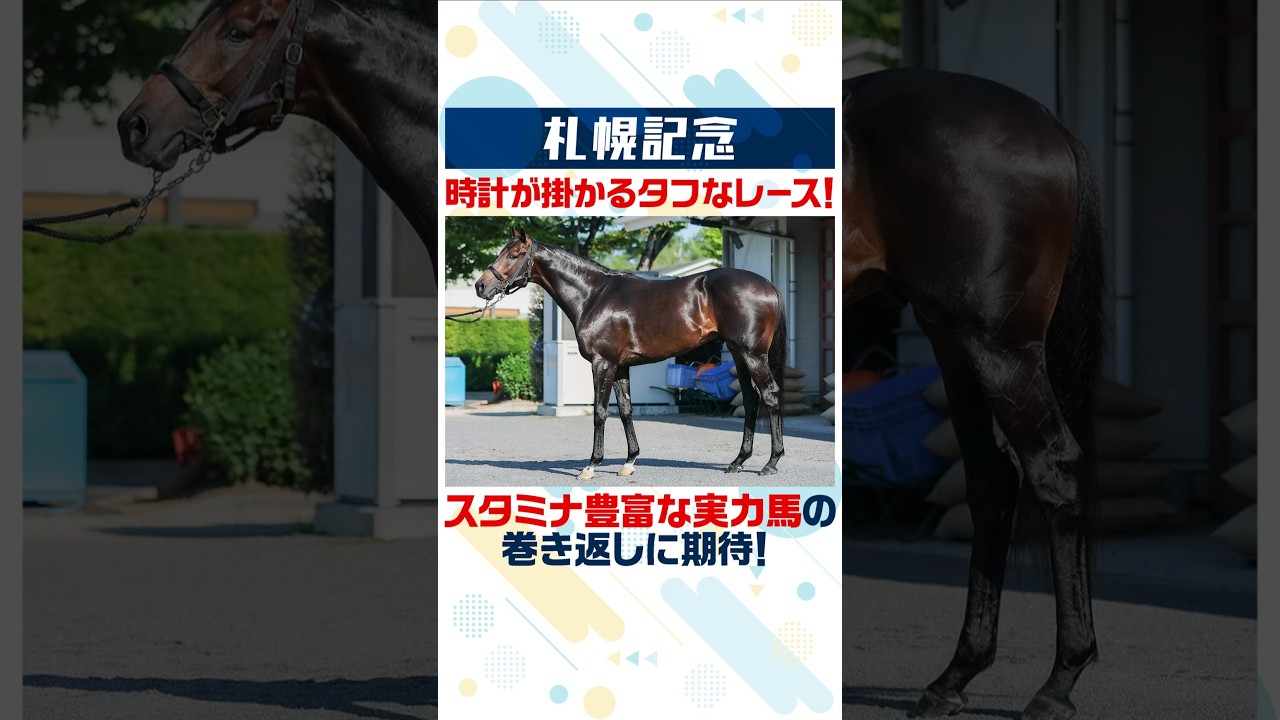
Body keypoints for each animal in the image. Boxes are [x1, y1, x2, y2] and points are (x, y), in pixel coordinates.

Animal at [474, 228, 788, 481]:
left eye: (514, 255)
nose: (481, 286)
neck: (594, 295)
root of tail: (770, 286)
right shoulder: (620, 366)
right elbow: (625, 410)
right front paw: (629, 462)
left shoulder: (602, 363)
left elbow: (600, 412)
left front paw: (591, 465)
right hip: (738, 353)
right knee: (751, 400)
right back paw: (738, 462)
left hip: (752, 355)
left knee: (770, 395)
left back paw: (771, 463)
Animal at [843, 67, 1105, 720]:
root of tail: (1051, 124)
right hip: (952, 339)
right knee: (992, 477)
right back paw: (955, 675)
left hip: (996, 343)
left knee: (1051, 467)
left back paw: (1059, 681)